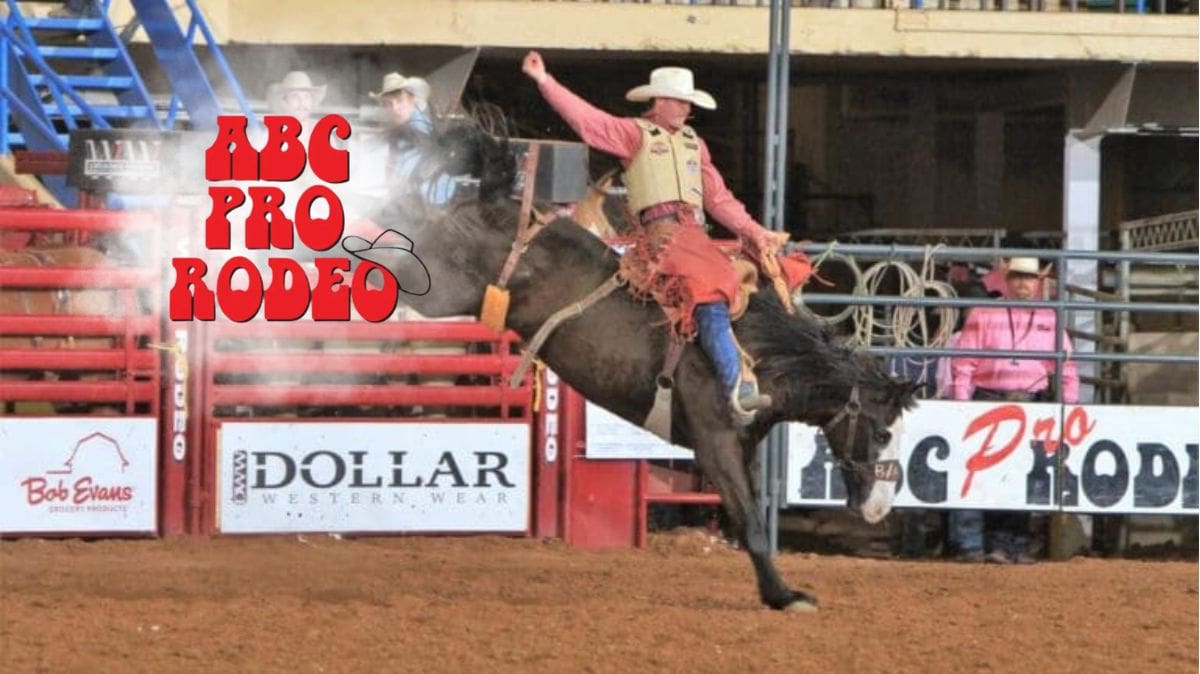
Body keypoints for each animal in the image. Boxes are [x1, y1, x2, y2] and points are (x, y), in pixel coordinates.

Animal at [352, 121, 918, 611]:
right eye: (883, 433)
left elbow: (752, 515)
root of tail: (496, 200)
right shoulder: (715, 442)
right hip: (438, 285)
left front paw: (779, 591)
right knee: (392, 259)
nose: (880, 508)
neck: (758, 355)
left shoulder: (746, 445)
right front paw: (784, 597)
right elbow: (750, 521)